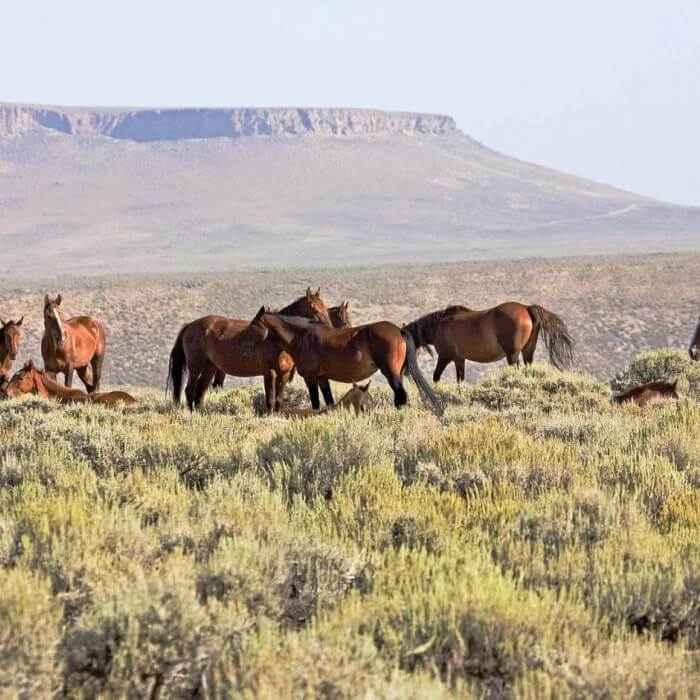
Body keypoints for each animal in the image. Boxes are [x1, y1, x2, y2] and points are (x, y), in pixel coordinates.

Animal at [167, 288, 336, 412]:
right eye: (314, 309)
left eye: (326, 309)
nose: (329, 330)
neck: (277, 341)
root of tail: (190, 325)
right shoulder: (269, 373)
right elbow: (270, 399)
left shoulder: (284, 374)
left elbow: (279, 399)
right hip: (196, 366)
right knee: (190, 391)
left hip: (210, 367)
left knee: (200, 392)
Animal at [402, 300, 572, 382]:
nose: (405, 371)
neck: (439, 325)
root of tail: (526, 308)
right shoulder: (459, 360)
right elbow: (460, 379)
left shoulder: (444, 357)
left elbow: (436, 377)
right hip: (527, 351)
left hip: (513, 354)